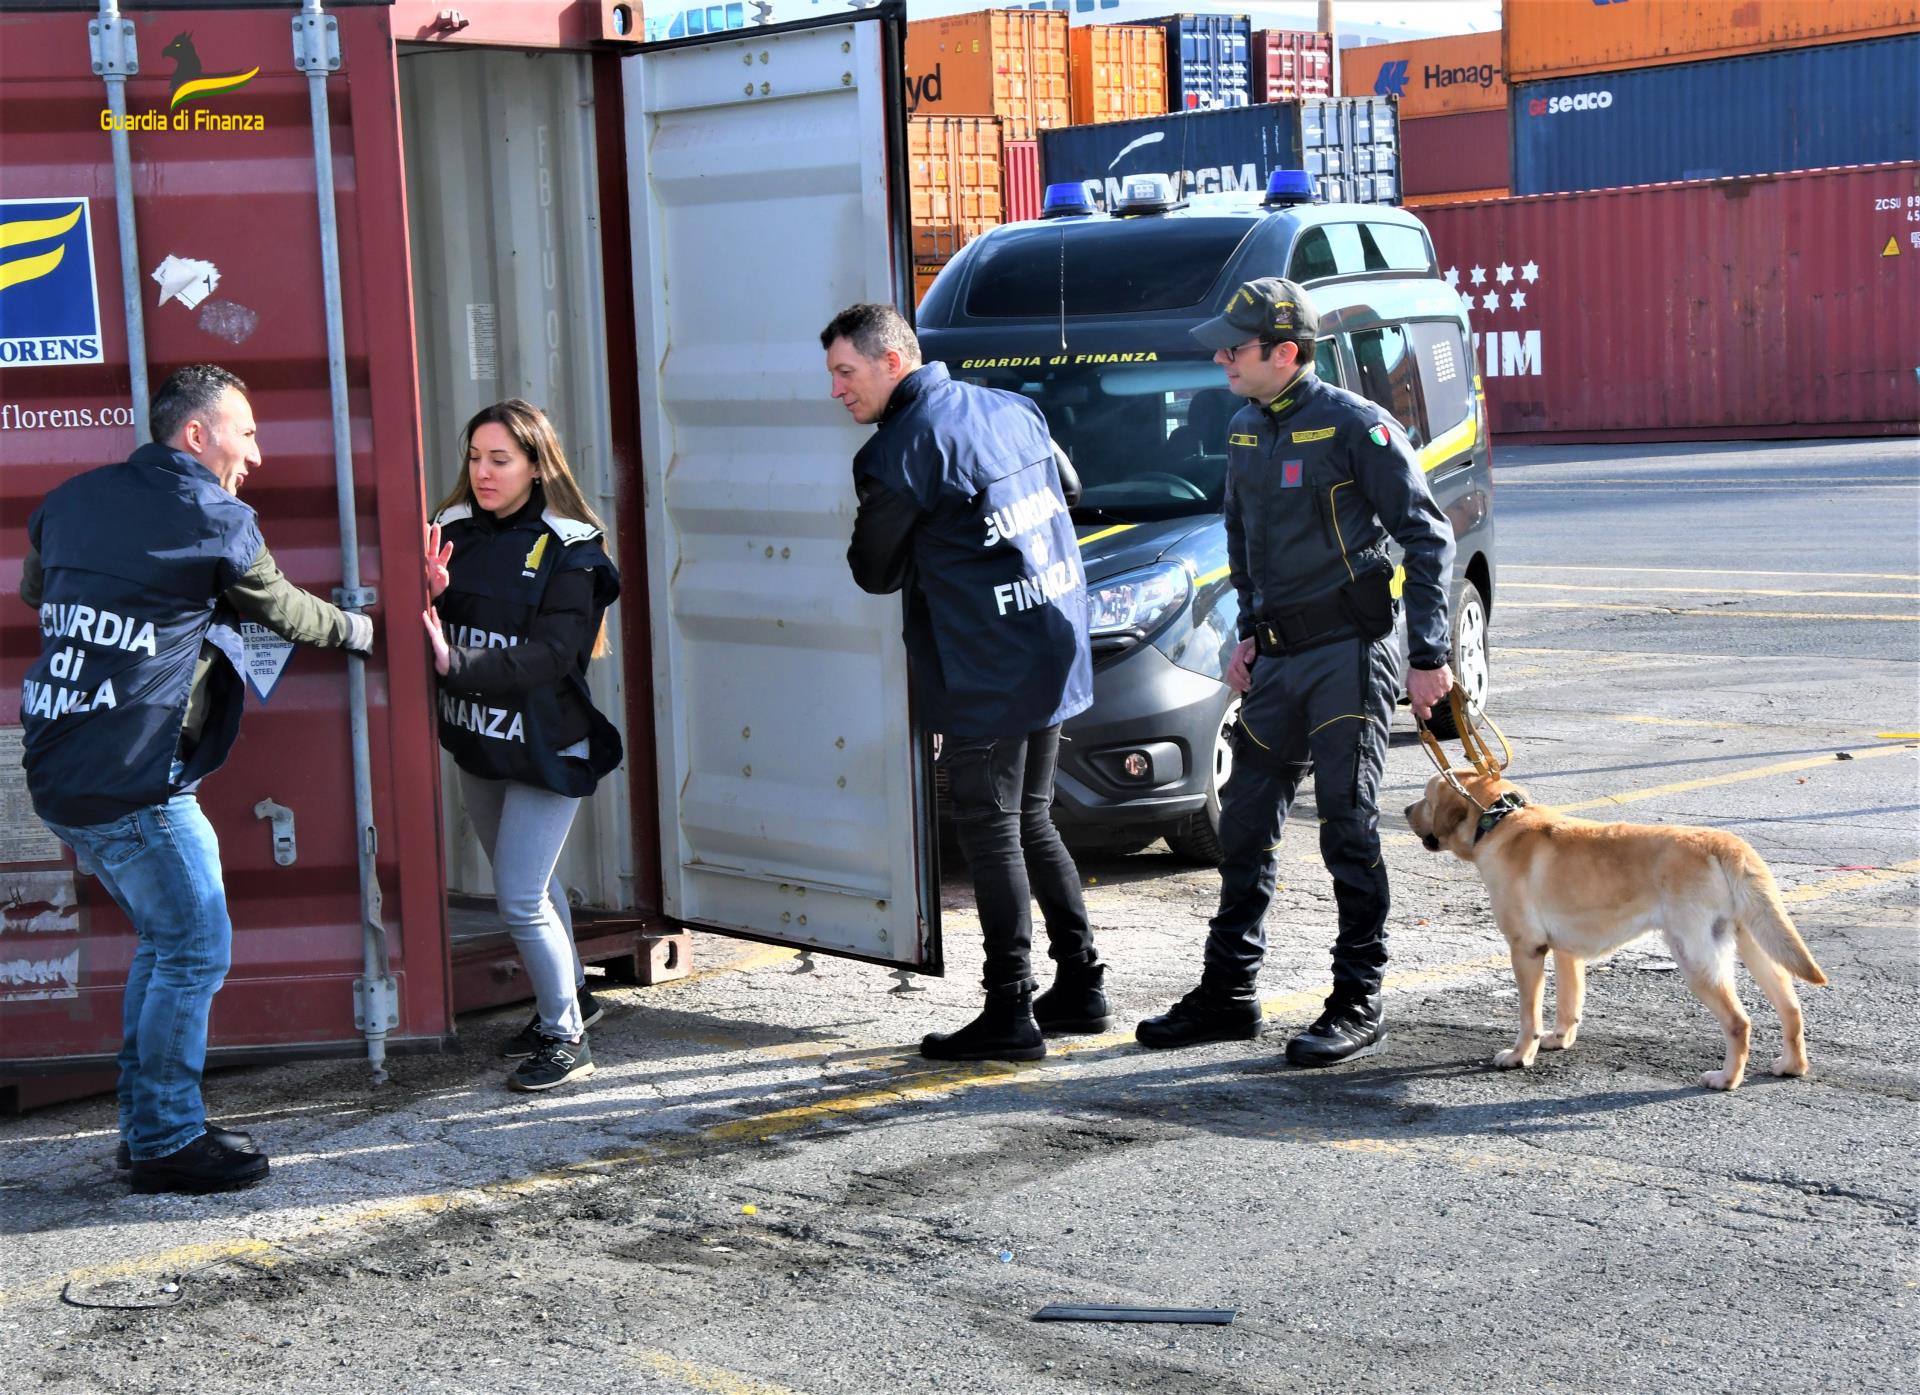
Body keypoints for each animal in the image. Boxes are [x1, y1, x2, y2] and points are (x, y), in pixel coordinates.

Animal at [1413, 775, 1827, 1089]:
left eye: (1426, 797)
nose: (1404, 811)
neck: (1497, 819)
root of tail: (1726, 843)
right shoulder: (1567, 951)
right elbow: (1569, 1003)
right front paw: (1559, 1039)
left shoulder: (1525, 949)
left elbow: (1529, 1016)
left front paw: (1520, 1055)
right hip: (1755, 944)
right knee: (1791, 1007)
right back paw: (1792, 1065)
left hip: (1695, 957)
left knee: (1739, 1023)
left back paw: (1726, 1079)